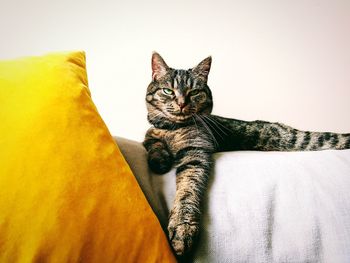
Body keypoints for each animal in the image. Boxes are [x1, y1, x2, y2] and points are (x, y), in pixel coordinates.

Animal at [142, 52, 350, 258]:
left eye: (194, 92)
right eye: (168, 91)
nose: (181, 103)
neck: (172, 129)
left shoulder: (196, 154)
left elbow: (187, 191)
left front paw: (182, 229)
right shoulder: (151, 135)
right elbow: (151, 141)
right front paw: (159, 160)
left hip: (298, 140)